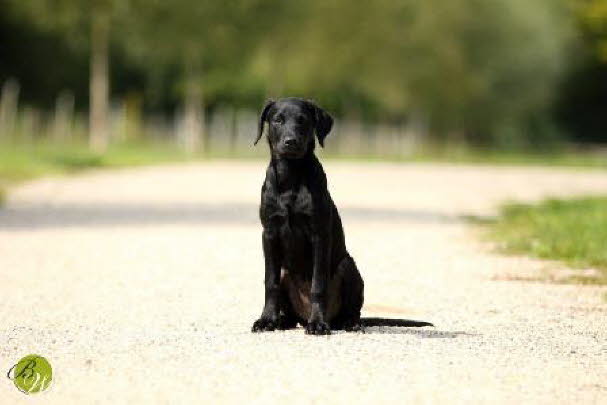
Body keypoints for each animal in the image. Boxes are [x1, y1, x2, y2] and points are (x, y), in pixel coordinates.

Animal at [251, 98, 432, 334]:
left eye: (303, 120)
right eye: (277, 120)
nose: (291, 142)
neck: (291, 177)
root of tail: (303, 316)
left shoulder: (319, 235)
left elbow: (318, 284)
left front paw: (318, 323)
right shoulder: (270, 234)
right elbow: (269, 282)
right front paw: (266, 320)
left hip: (348, 267)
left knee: (351, 311)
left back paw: (346, 323)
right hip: (286, 273)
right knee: (290, 314)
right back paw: (282, 321)